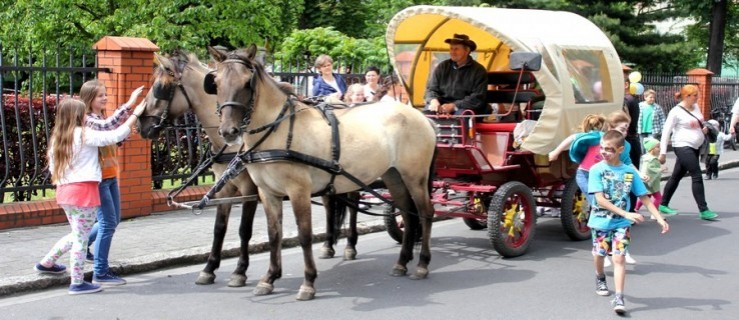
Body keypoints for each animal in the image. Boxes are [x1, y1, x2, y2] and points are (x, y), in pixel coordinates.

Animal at [139, 52, 362, 288]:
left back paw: (350, 245)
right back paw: (328, 245)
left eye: (161, 87)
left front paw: (240, 271)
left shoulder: (250, 188)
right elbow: (220, 228)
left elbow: (244, 229)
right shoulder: (225, 187)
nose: (141, 124)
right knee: (330, 202)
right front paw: (209, 268)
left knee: (354, 203)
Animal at [207, 44, 440, 300]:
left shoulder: (298, 191)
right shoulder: (268, 193)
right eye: (216, 82)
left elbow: (304, 235)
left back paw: (422, 264)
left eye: (247, 82)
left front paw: (308, 282)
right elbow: (274, 234)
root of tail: (421, 117)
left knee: (425, 213)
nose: (228, 131)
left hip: (415, 177)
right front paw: (269, 278)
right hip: (393, 176)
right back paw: (402, 262)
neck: (278, 130)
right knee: (408, 215)